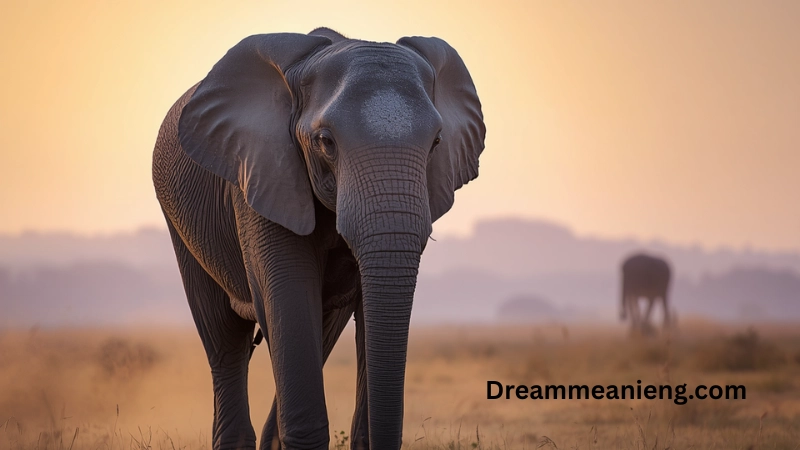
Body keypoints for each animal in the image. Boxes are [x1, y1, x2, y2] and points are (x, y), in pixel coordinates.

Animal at [152, 27, 485, 450]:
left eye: (437, 142)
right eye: (326, 141)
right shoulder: (263, 177)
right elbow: (290, 297)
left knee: (319, 331)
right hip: (180, 223)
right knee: (225, 339)